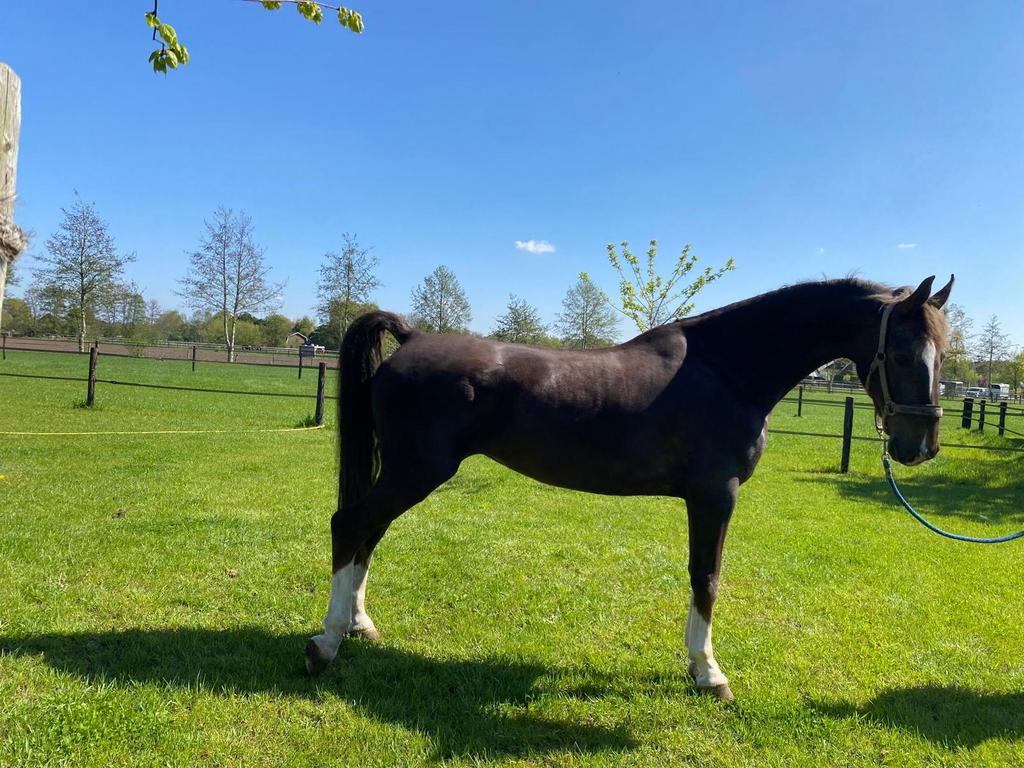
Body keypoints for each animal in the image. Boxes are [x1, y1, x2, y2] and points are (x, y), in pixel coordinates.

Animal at [305, 274, 953, 701]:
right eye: (900, 352)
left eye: (943, 354)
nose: (919, 445)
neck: (728, 369)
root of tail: (411, 337)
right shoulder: (715, 496)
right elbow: (706, 577)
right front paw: (707, 673)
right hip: (415, 472)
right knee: (350, 525)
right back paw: (327, 644)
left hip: (406, 472)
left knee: (368, 535)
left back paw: (359, 626)